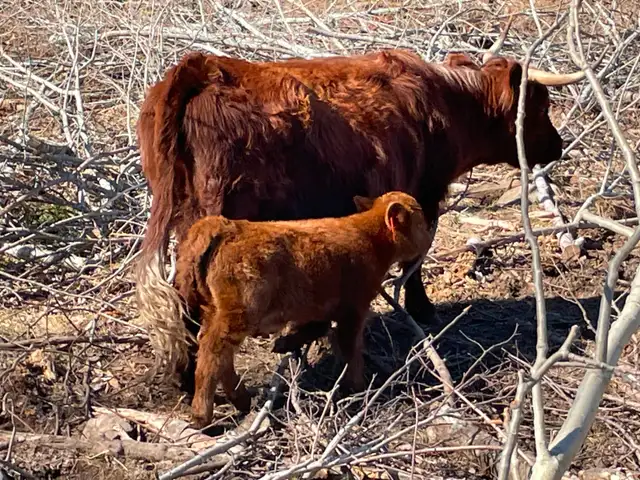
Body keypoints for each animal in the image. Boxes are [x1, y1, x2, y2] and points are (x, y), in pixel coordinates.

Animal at [134, 25, 585, 385]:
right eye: (540, 106)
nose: (559, 146)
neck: (447, 102)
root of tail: (203, 66)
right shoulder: (423, 193)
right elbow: (416, 258)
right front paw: (422, 309)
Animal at [175, 191, 433, 428]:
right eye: (420, 220)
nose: (429, 236)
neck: (369, 236)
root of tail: (227, 227)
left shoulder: (320, 309)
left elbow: (317, 329)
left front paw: (283, 344)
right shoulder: (353, 310)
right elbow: (351, 350)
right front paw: (357, 388)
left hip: (216, 312)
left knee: (216, 351)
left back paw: (242, 399)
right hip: (237, 315)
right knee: (214, 351)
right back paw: (202, 415)